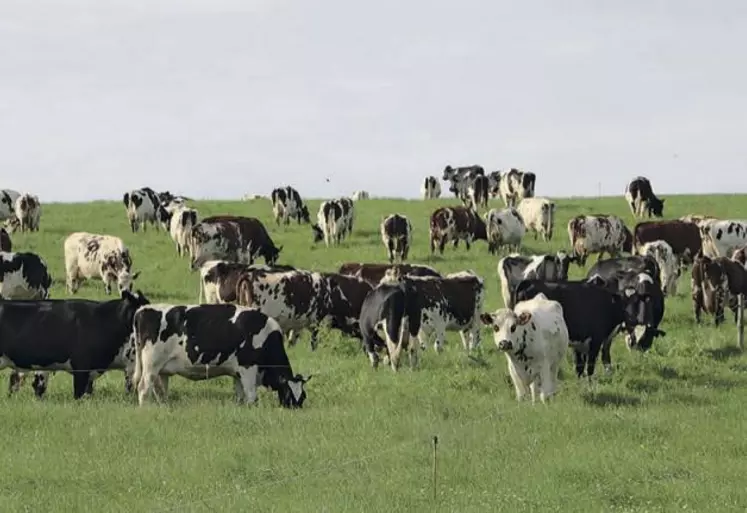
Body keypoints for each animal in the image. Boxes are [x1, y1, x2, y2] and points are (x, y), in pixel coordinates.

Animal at [131, 302, 310, 406]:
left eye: (303, 396)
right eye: (288, 394)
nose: (295, 409)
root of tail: (142, 310)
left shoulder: (238, 374)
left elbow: (240, 396)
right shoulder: (248, 368)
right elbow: (252, 397)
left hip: (161, 369)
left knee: (160, 391)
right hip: (151, 365)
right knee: (143, 388)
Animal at [516, 278, 660, 378]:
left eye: (636, 302)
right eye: (624, 302)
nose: (631, 319)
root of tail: (529, 282)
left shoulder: (580, 343)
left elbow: (579, 367)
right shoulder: (595, 340)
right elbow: (590, 367)